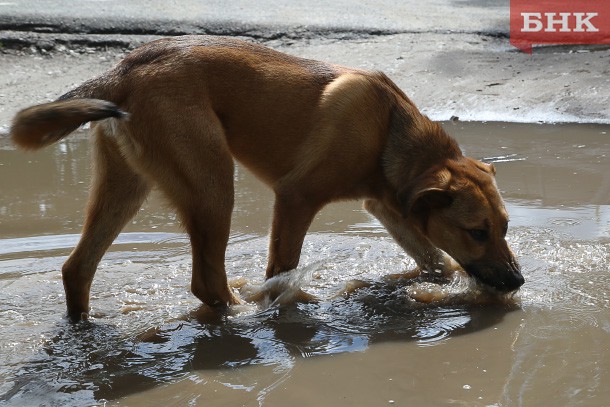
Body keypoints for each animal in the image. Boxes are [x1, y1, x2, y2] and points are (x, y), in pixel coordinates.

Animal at [9, 35, 520, 322]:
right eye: (477, 231)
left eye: (505, 227)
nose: (517, 281)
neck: (388, 134)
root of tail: (123, 70)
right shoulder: (296, 199)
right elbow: (281, 271)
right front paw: (289, 305)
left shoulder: (388, 206)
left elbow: (439, 263)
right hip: (213, 186)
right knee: (206, 282)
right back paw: (246, 315)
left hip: (126, 189)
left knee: (77, 268)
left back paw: (84, 328)